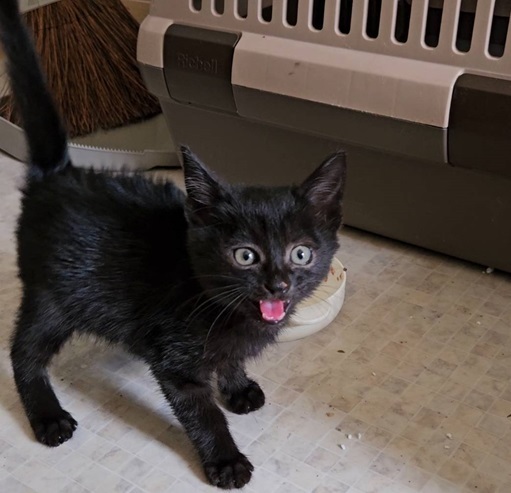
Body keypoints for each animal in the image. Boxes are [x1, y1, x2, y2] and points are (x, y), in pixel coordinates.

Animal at [0, 0, 346, 489]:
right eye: (245, 255)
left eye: (301, 253)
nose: (278, 285)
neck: (221, 307)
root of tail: (57, 175)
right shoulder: (174, 362)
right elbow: (201, 413)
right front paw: (226, 460)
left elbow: (229, 361)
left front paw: (237, 387)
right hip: (52, 293)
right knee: (23, 350)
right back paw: (47, 417)